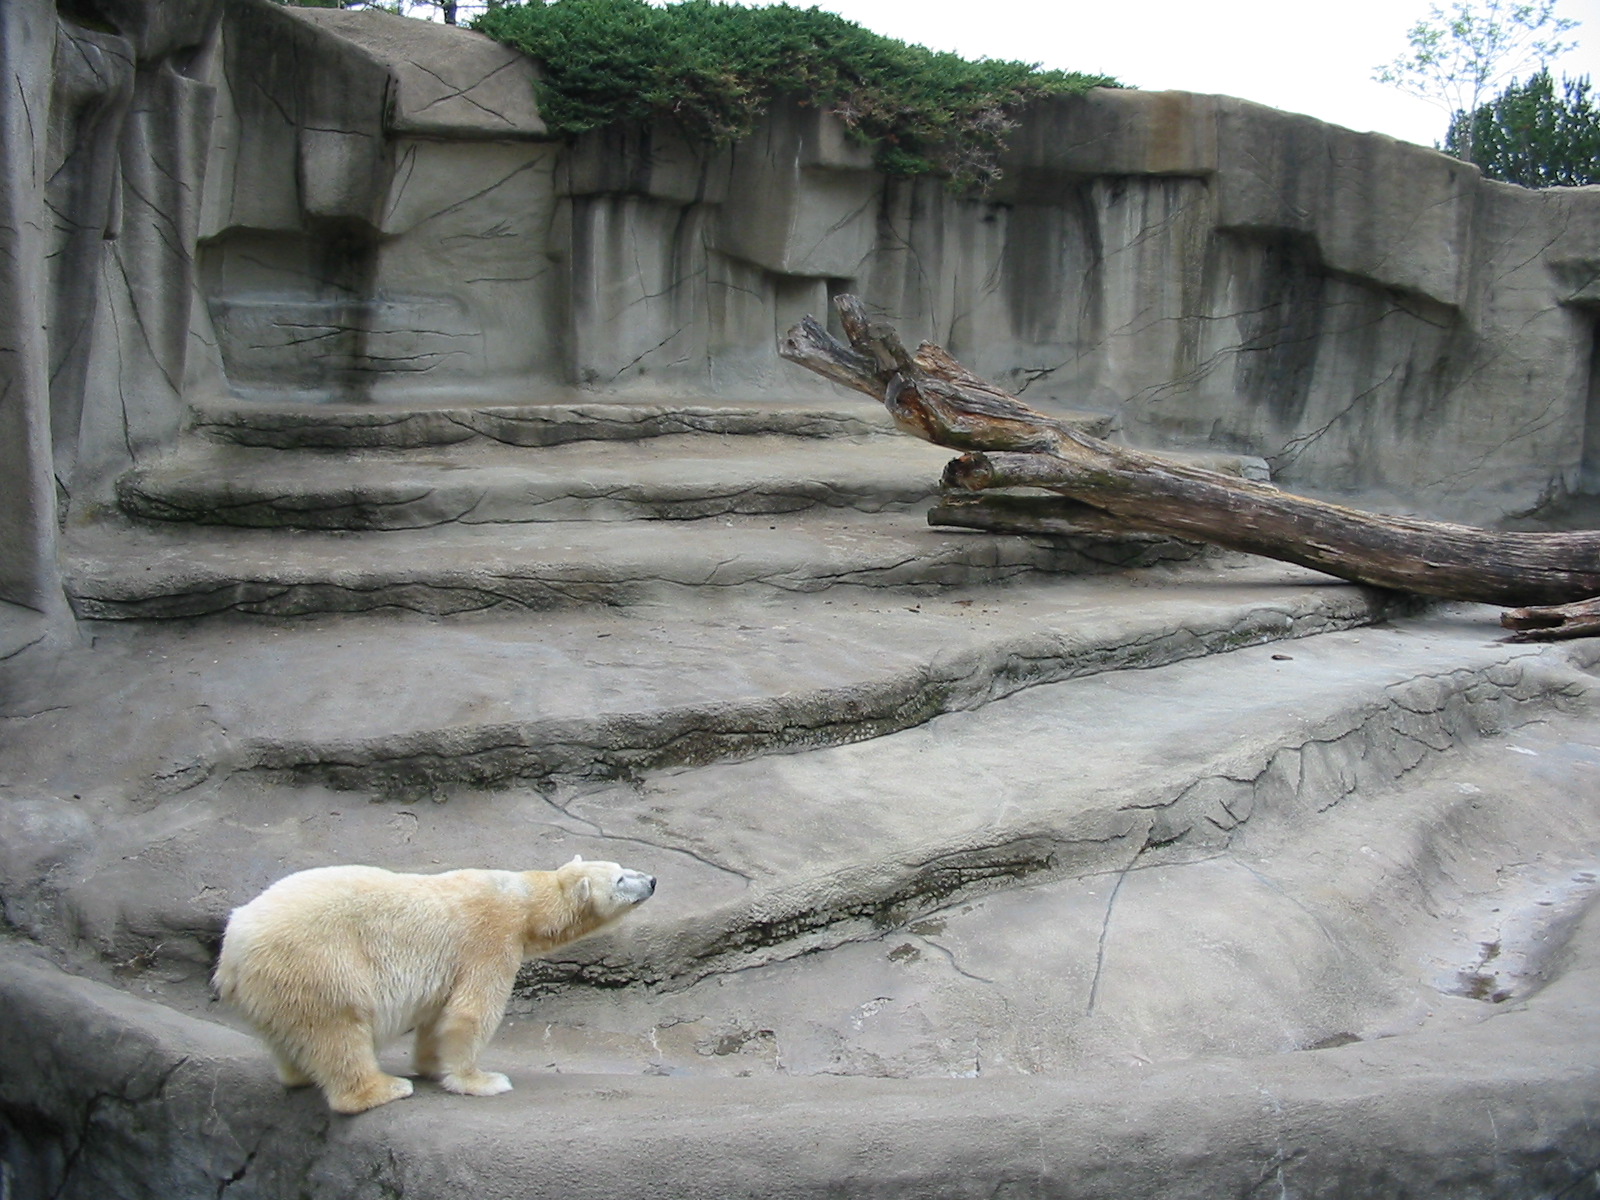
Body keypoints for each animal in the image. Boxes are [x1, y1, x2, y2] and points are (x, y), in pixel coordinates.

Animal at [214, 856, 655, 1114]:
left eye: (626, 866)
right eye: (620, 879)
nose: (652, 879)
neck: (523, 898)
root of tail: (231, 949)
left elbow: (438, 1013)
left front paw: (432, 1065)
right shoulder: (490, 936)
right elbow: (471, 1011)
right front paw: (481, 1081)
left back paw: (300, 1074)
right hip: (316, 964)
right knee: (336, 1030)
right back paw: (383, 1088)